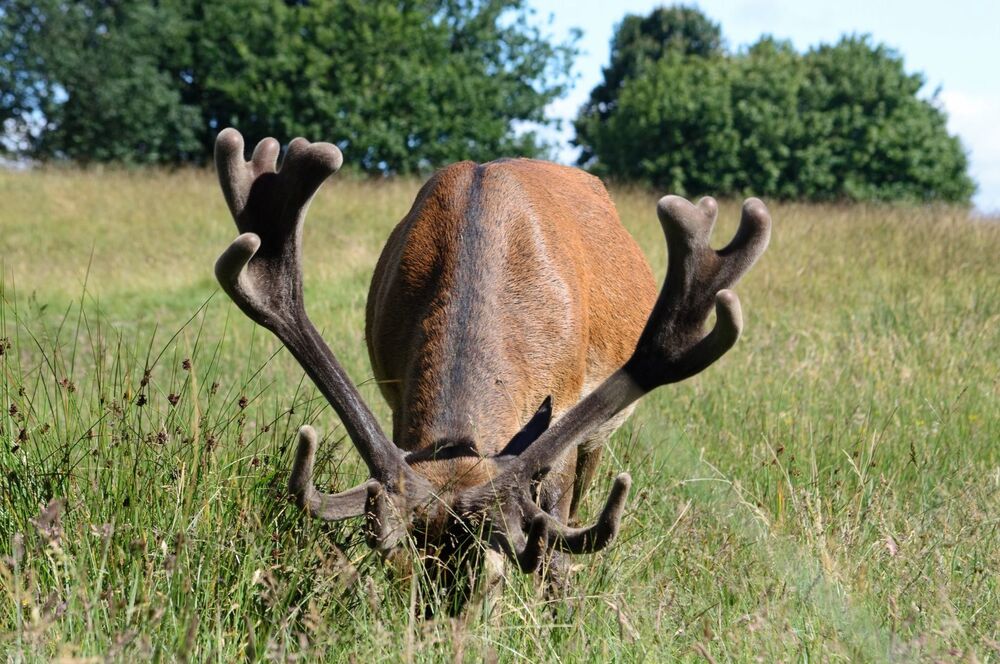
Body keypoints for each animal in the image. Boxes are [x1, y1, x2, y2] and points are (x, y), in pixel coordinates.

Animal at [212, 128, 770, 614]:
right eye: (406, 564)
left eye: (491, 579)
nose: (440, 631)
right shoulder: (397, 404)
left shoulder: (561, 408)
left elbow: (553, 550)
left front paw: (563, 621)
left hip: (596, 435)